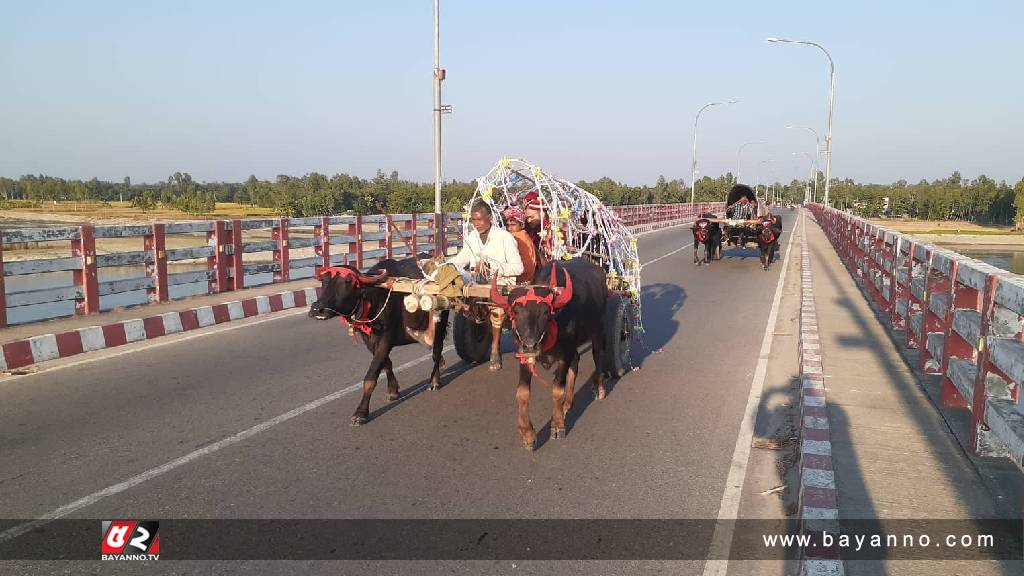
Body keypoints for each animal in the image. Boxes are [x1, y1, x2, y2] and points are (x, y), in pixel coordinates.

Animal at [303, 258, 448, 424]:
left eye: (348, 281)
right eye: (324, 281)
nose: (317, 309)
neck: (373, 299)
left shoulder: (386, 339)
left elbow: (370, 377)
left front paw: (361, 413)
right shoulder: (370, 341)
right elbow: (386, 365)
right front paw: (393, 391)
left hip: (440, 325)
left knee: (436, 351)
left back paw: (435, 381)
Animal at [489, 258, 606, 450]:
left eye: (545, 312)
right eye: (515, 312)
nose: (530, 345)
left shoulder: (564, 356)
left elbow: (557, 389)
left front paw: (557, 426)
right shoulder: (524, 357)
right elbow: (522, 392)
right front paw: (527, 435)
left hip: (597, 329)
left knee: (598, 355)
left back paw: (600, 389)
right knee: (576, 362)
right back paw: (568, 403)